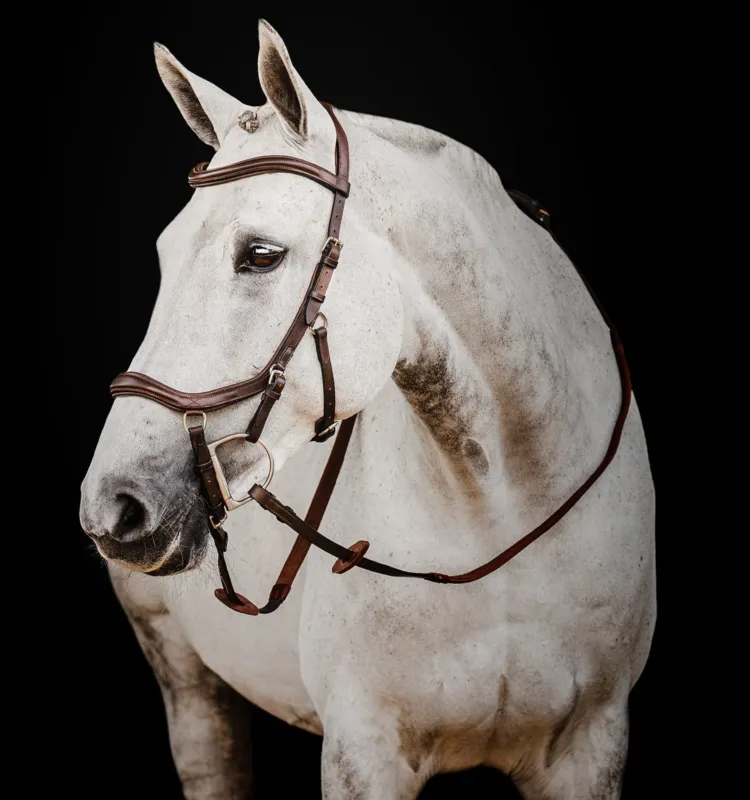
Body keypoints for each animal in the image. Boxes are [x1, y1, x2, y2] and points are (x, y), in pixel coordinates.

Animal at [79, 19, 655, 799]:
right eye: (165, 256)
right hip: (186, 680)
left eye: (260, 254)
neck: (502, 507)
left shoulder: (591, 745)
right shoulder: (363, 752)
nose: (113, 505)